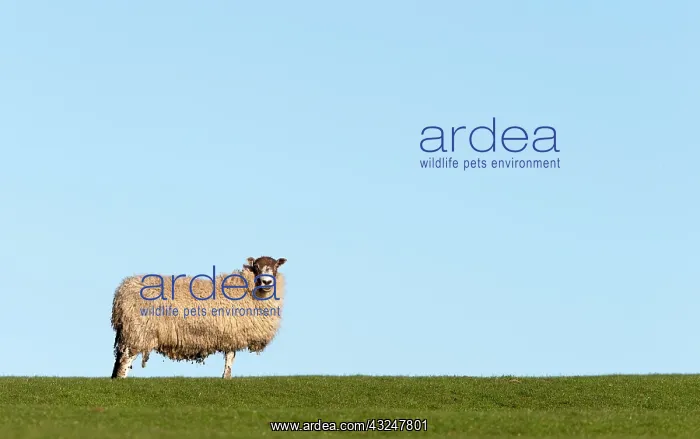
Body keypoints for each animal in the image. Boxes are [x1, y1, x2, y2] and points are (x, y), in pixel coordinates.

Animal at [110, 256, 287, 379]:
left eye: (275, 266)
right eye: (256, 266)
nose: (266, 282)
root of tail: (123, 290)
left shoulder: (231, 334)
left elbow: (230, 357)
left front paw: (226, 378)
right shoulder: (232, 333)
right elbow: (230, 358)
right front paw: (226, 377)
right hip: (139, 331)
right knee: (125, 360)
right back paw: (121, 379)